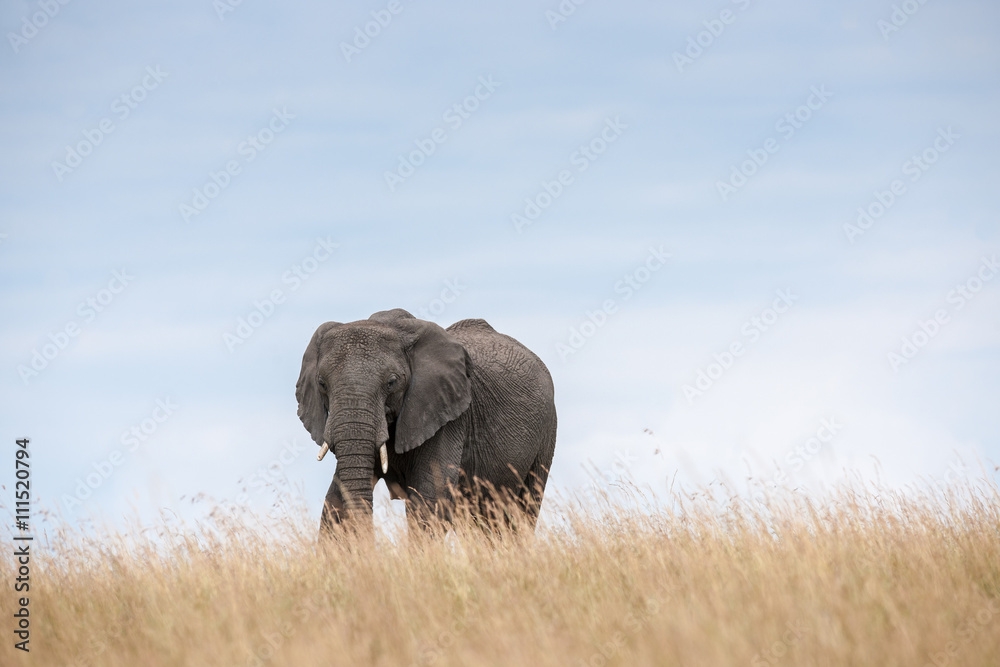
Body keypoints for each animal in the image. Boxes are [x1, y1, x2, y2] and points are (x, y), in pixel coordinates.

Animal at [295, 308, 557, 535]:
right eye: (322, 384)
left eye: (391, 382)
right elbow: (334, 499)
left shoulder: (448, 414)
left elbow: (430, 497)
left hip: (546, 433)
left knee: (523, 508)